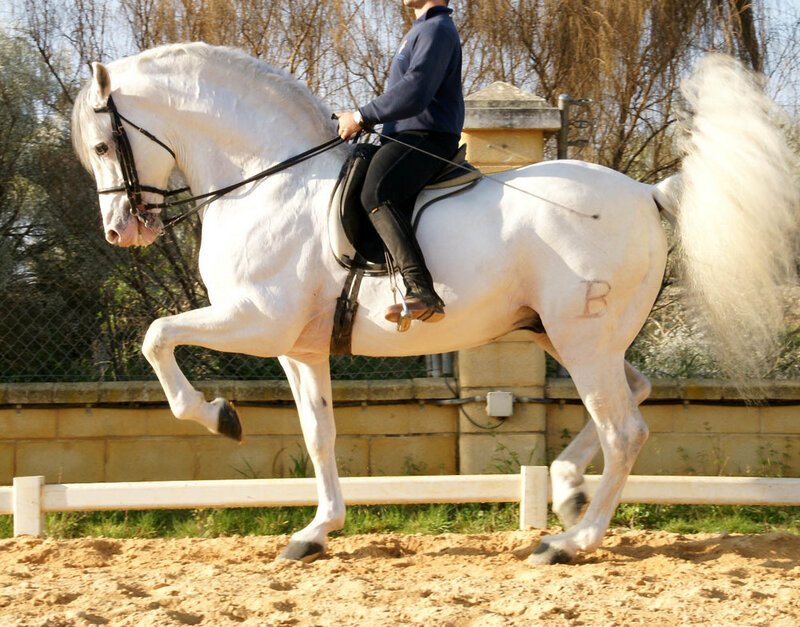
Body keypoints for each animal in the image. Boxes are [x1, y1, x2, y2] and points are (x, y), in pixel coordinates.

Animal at [71, 42, 798, 565]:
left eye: (105, 145)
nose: (121, 231)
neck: (266, 180)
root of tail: (647, 192)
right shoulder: (298, 347)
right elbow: (318, 434)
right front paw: (316, 532)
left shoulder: (257, 320)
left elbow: (156, 335)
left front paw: (218, 416)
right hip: (566, 334)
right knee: (636, 394)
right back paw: (567, 491)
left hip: (582, 340)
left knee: (626, 429)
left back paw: (569, 542)